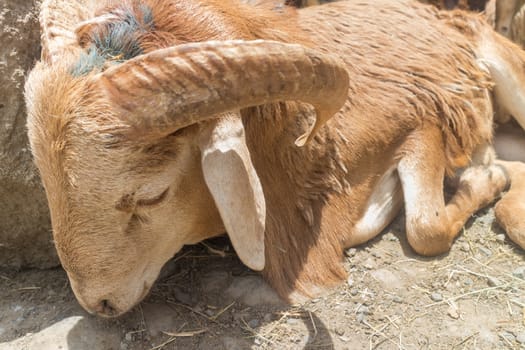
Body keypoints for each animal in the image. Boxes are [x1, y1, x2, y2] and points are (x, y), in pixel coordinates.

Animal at [25, 0, 525, 318]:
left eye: (151, 196)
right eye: (46, 183)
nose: (98, 304)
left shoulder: (422, 121)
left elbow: (425, 230)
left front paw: (483, 180)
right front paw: (487, 177)